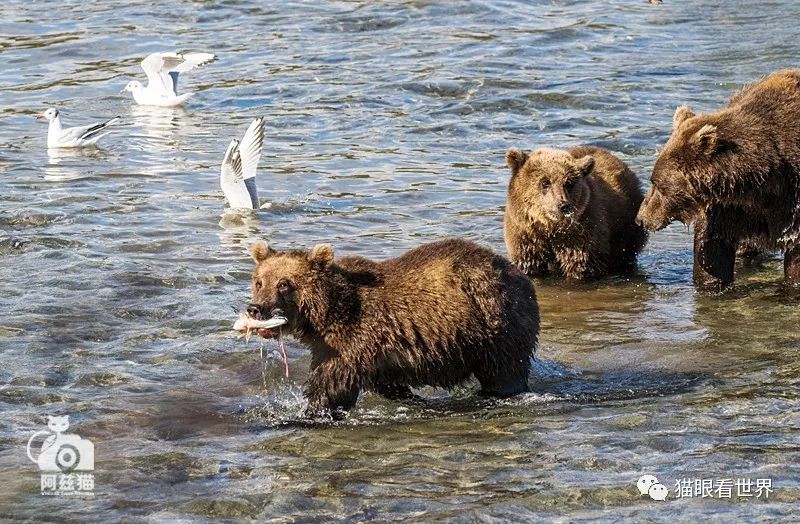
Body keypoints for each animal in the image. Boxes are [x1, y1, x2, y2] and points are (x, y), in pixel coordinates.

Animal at [247, 237, 540, 418]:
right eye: (259, 282)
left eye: (284, 284)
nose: (255, 308)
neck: (326, 314)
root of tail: (516, 271)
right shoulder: (355, 351)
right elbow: (383, 382)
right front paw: (411, 398)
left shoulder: (352, 338)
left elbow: (331, 385)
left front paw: (308, 413)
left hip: (497, 324)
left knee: (503, 371)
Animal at [506, 145, 648, 280]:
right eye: (545, 182)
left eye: (569, 183)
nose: (563, 205)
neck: (549, 228)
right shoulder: (526, 235)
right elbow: (529, 263)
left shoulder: (581, 232)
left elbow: (581, 263)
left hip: (626, 227)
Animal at [636, 68, 800, 290]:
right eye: (653, 180)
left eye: (658, 184)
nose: (640, 218)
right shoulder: (727, 207)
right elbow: (712, 248)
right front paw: (712, 283)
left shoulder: (792, 201)